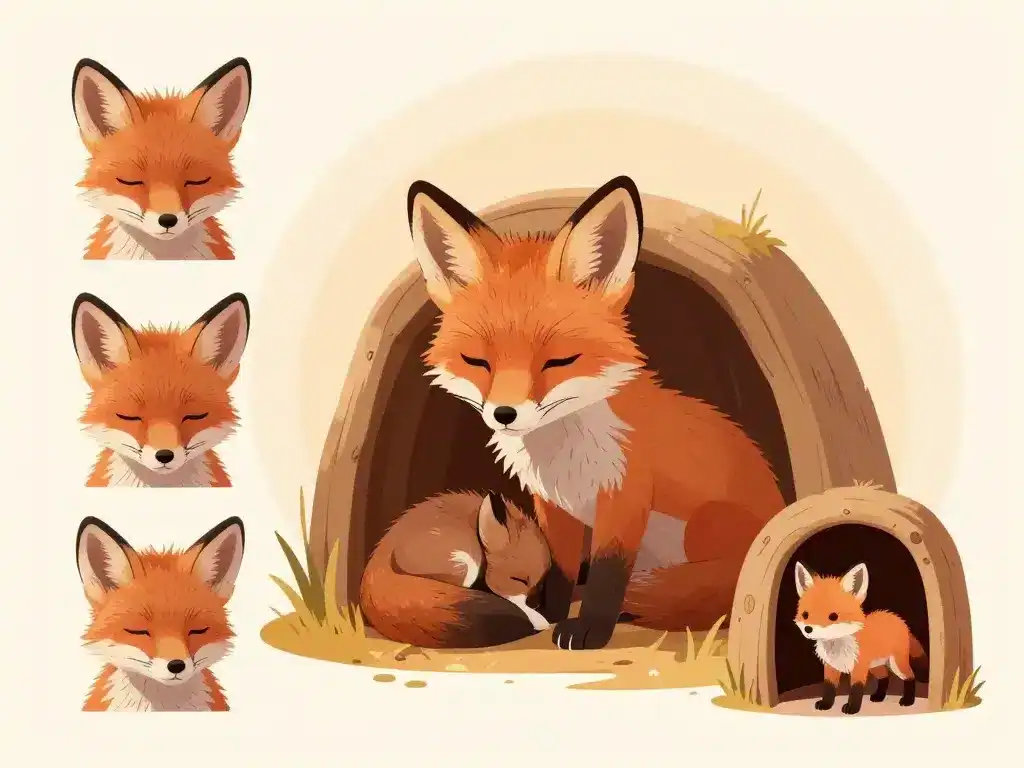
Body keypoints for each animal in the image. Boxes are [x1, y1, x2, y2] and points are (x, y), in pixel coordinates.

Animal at [406, 176, 786, 651]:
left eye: (559, 361)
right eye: (477, 361)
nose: (504, 414)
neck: (564, 453)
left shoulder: (625, 497)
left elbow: (609, 573)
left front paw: (590, 627)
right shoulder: (552, 504)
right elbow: (562, 567)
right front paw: (551, 610)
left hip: (704, 523)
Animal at [794, 561, 928, 715]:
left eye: (833, 616)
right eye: (805, 614)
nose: (808, 629)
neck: (838, 648)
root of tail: (899, 620)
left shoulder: (859, 668)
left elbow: (856, 689)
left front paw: (852, 708)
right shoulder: (831, 667)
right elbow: (829, 687)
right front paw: (826, 704)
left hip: (896, 664)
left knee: (910, 676)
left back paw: (908, 701)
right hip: (876, 666)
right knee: (884, 677)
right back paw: (879, 697)